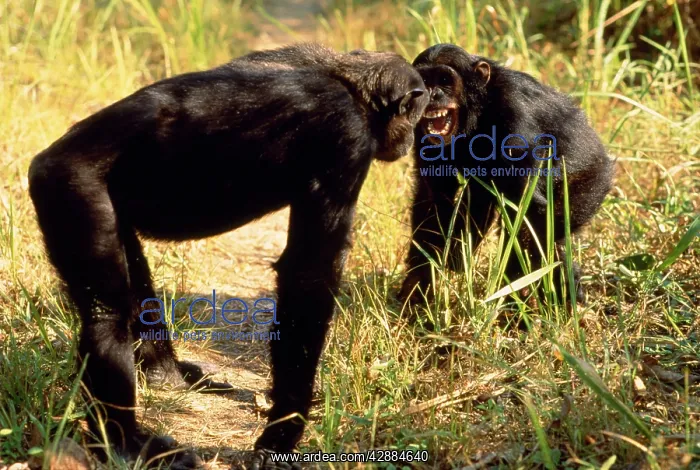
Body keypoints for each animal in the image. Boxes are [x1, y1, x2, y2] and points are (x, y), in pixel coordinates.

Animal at [28, 43, 428, 468]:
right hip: (71, 186)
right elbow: (309, 274)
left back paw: (166, 375)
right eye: (416, 112)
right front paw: (281, 434)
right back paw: (128, 442)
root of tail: (44, 159)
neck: (350, 84)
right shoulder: (344, 138)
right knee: (107, 317)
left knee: (134, 280)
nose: (411, 139)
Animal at [399, 44, 614, 309]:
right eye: (425, 81)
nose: (431, 94)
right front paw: (415, 289)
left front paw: (507, 290)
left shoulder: (513, 112)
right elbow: (434, 200)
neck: (477, 109)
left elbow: (528, 211)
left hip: (590, 184)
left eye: (444, 80)